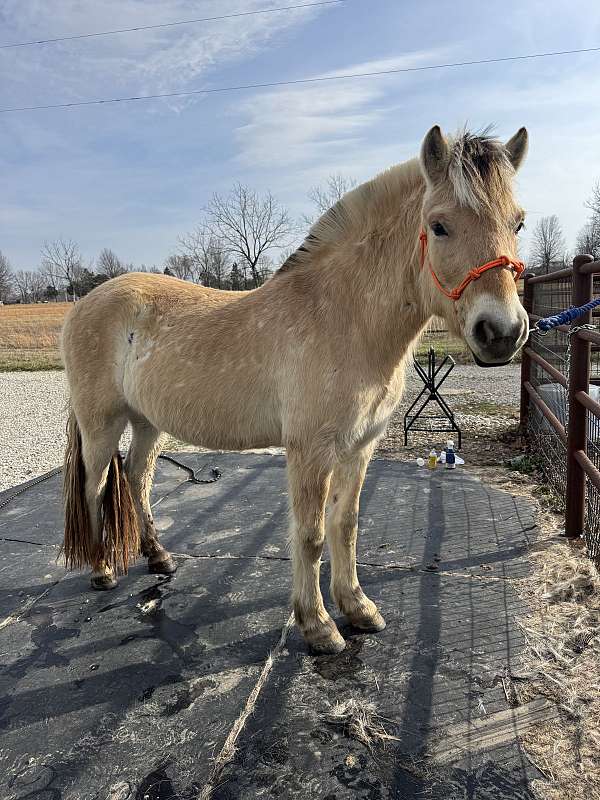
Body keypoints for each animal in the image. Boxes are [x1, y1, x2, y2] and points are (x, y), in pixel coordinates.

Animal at [61, 125, 529, 654]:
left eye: (518, 224)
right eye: (439, 225)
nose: (502, 332)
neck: (343, 319)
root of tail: (83, 305)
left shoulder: (359, 448)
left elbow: (345, 525)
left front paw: (358, 608)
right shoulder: (310, 450)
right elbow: (310, 534)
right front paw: (319, 625)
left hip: (147, 423)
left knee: (137, 478)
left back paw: (159, 557)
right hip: (102, 424)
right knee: (95, 485)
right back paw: (101, 569)